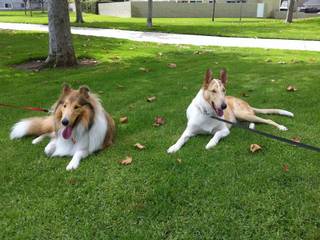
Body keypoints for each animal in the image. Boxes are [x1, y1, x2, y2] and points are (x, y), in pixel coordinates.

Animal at [168, 68, 296, 154]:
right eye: (213, 91)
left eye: (224, 90)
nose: (224, 106)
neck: (208, 114)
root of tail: (246, 103)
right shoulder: (189, 131)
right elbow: (181, 138)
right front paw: (174, 147)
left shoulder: (224, 130)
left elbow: (216, 134)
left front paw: (211, 143)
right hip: (242, 116)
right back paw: (251, 127)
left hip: (241, 113)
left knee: (267, 119)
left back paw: (280, 127)